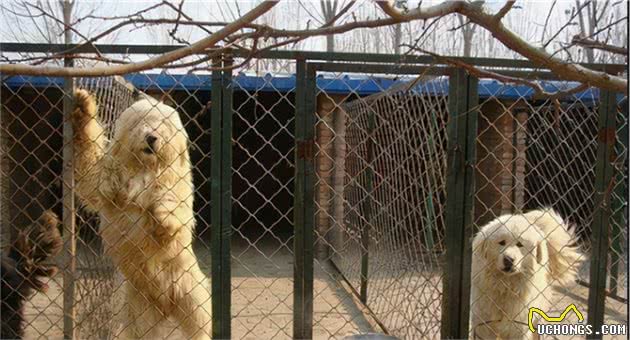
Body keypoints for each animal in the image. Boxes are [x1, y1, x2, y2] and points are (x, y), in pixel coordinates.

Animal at [70, 90, 211, 340]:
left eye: (163, 125)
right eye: (141, 122)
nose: (151, 138)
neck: (144, 169)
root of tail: (166, 303)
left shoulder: (175, 185)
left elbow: (177, 208)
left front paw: (162, 213)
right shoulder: (109, 177)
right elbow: (91, 169)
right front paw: (82, 106)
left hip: (190, 289)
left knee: (200, 321)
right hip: (138, 304)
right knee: (140, 330)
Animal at [472, 209, 584, 338]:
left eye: (520, 244)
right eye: (501, 242)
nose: (509, 259)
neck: (506, 286)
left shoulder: (519, 326)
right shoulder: (483, 325)